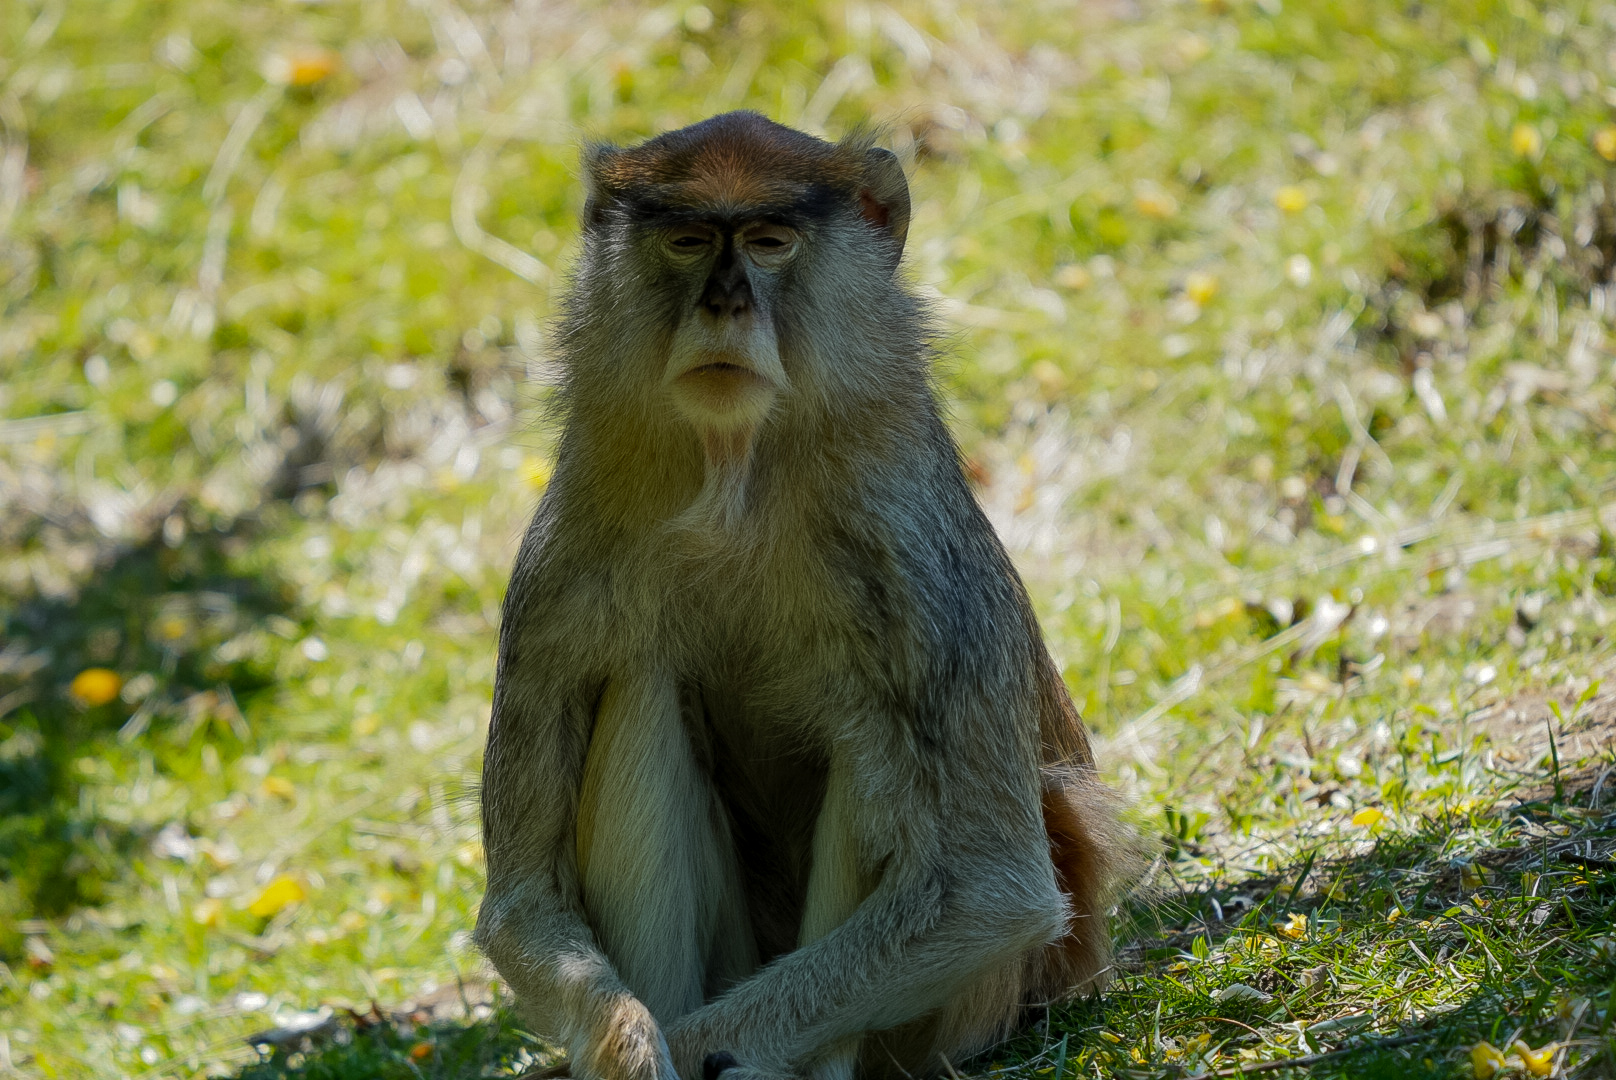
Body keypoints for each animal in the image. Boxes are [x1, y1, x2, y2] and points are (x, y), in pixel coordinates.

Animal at [475, 111, 1132, 1080]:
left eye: (769, 241)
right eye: (685, 241)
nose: (724, 305)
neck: (735, 480)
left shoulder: (915, 563)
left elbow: (992, 890)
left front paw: (680, 1049)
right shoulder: (561, 566)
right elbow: (521, 902)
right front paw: (628, 1042)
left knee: (872, 739)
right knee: (639, 687)